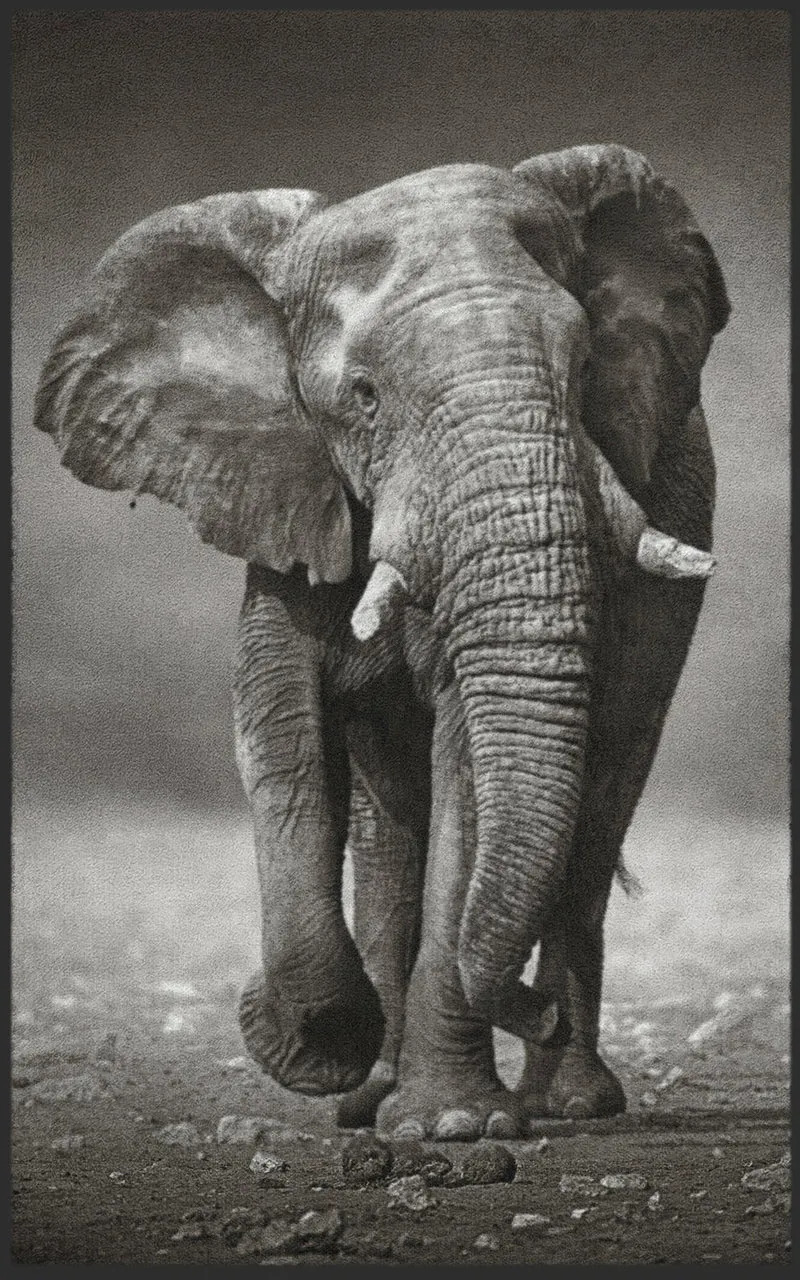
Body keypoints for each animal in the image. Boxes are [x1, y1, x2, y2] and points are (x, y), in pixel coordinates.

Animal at [35, 144, 729, 1139]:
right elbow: (280, 739)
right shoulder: (286, 491)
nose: (532, 1011)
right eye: (363, 398)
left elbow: (468, 765)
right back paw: (373, 1095)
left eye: (588, 365)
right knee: (389, 832)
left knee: (598, 802)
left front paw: (453, 1126)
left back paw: (568, 1102)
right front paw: (316, 1045)